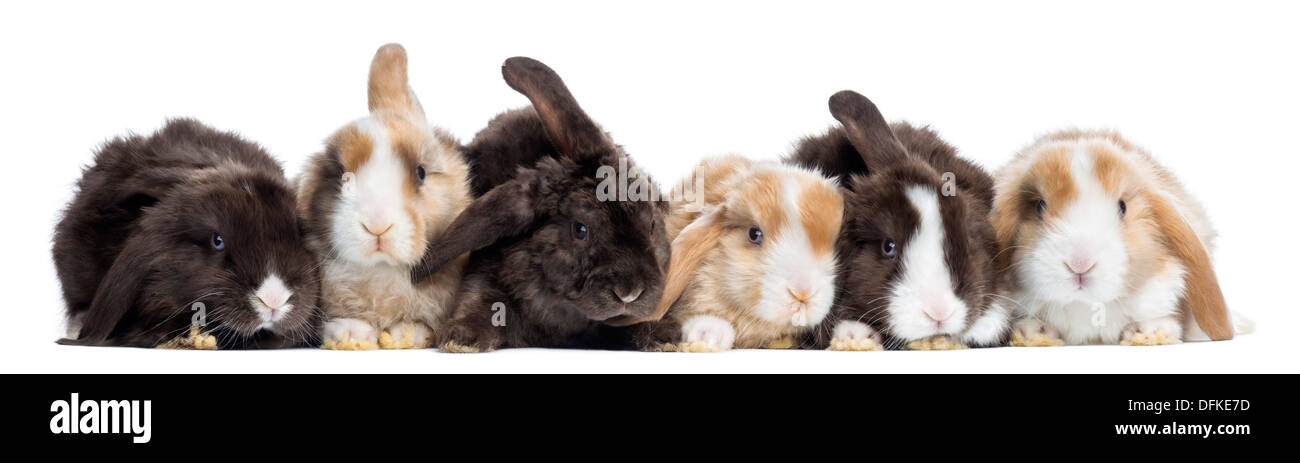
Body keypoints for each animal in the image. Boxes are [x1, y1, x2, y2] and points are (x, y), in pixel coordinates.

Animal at [296, 43, 473, 350]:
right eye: (341, 175)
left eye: (421, 172)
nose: (377, 226)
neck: (383, 271)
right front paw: (351, 336)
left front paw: (407, 335)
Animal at [409, 57, 670, 351]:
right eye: (580, 230)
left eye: (651, 225)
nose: (630, 293)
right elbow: (482, 300)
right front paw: (462, 337)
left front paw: (665, 335)